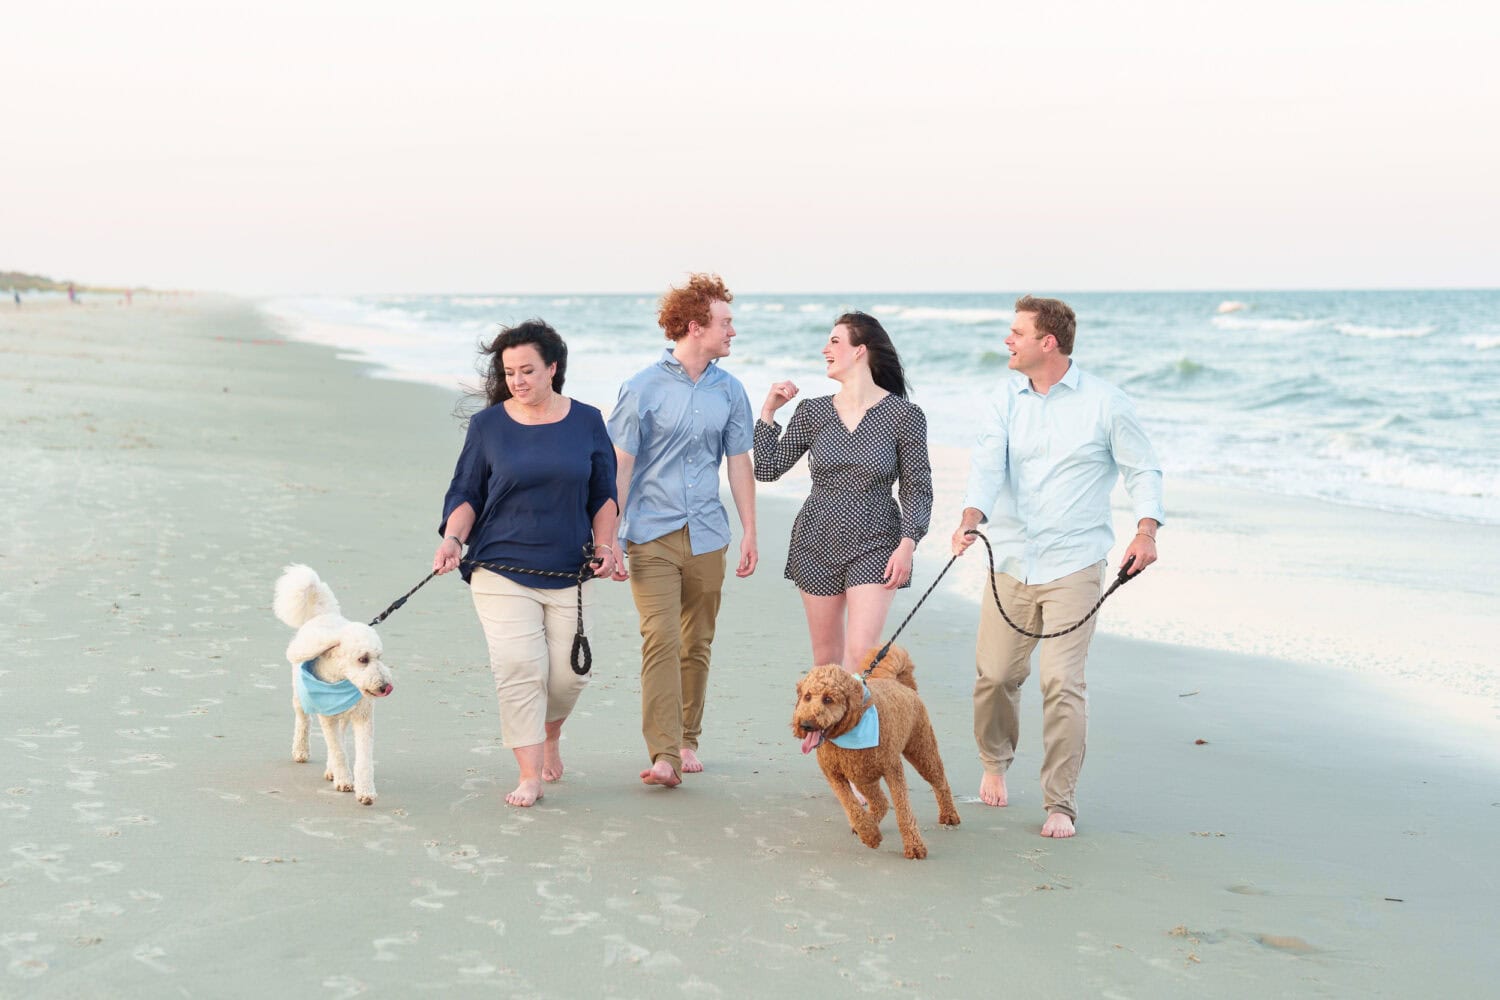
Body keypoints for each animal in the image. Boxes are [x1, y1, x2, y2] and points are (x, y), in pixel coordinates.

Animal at [273, 563, 396, 803]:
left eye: (379, 657)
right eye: (363, 659)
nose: (385, 686)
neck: (340, 680)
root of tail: (324, 614)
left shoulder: (363, 717)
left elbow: (362, 757)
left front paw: (365, 791)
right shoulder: (327, 716)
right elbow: (337, 749)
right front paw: (344, 780)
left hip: (344, 715)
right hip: (300, 698)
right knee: (304, 721)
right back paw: (301, 751)